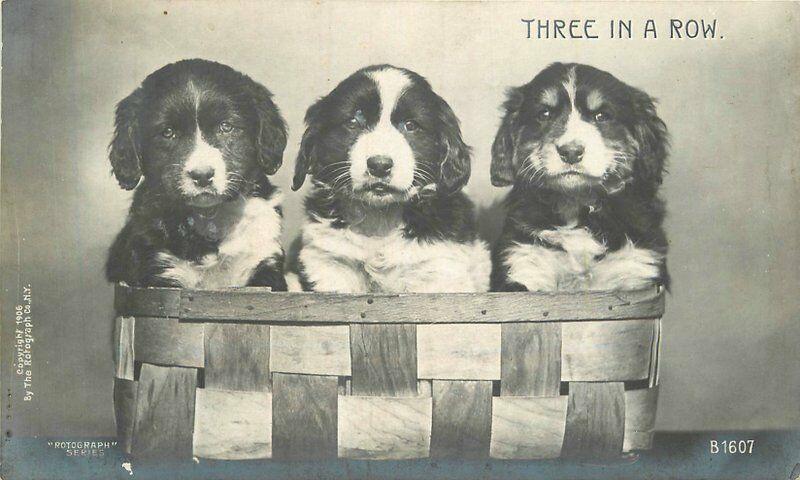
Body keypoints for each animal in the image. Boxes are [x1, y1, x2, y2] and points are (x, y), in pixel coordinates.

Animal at [105, 57, 288, 288]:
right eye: (168, 132)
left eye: (226, 127)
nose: (202, 176)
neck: (209, 218)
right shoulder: (162, 271)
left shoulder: (263, 261)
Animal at [290, 63, 490, 292]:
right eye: (353, 121)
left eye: (411, 125)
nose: (379, 165)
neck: (380, 218)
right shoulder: (330, 262)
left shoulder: (436, 268)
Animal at [488, 62, 668, 290]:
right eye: (544, 114)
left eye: (601, 116)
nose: (571, 152)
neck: (576, 204)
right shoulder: (524, 261)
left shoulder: (637, 268)